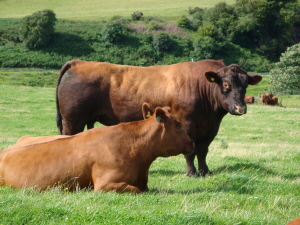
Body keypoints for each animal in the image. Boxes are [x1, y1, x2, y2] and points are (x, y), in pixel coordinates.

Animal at [56, 59, 262, 177]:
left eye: (245, 85)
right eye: (226, 84)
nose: (240, 107)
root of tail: (79, 62)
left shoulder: (209, 127)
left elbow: (203, 151)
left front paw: (205, 171)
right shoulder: (187, 124)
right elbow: (191, 151)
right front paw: (191, 173)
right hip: (72, 120)